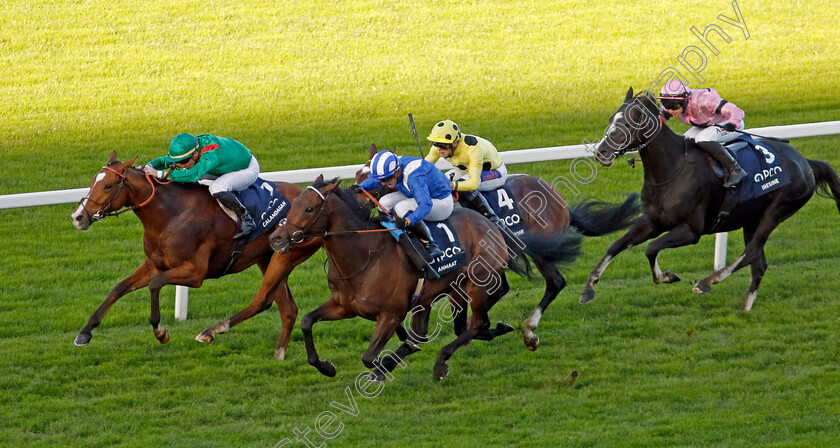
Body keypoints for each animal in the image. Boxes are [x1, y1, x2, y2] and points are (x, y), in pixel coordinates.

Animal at [69, 152, 322, 358]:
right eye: (92, 181)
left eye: (109, 186)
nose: (78, 217)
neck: (170, 214)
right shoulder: (153, 263)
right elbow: (118, 288)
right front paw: (85, 332)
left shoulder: (195, 273)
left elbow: (155, 283)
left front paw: (160, 332)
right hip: (267, 257)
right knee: (286, 309)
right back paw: (278, 355)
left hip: (286, 255)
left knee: (266, 301)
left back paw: (211, 332)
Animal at [270, 177, 584, 380]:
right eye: (293, 204)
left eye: (309, 208)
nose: (276, 238)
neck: (364, 254)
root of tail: (490, 222)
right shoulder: (345, 306)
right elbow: (307, 321)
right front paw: (326, 366)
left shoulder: (391, 313)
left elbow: (370, 357)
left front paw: (383, 366)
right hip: (440, 291)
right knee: (457, 327)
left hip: (476, 282)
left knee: (477, 323)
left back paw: (442, 363)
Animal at [352, 144, 640, 350]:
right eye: (359, 174)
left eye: (375, 179)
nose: (356, 199)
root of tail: (557, 197)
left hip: (541, 250)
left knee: (554, 282)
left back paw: (529, 332)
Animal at [580, 88, 840, 312]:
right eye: (612, 118)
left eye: (629, 123)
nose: (601, 153)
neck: (671, 170)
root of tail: (805, 162)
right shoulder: (653, 223)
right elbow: (617, 245)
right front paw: (588, 289)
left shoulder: (692, 230)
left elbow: (651, 248)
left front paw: (667, 277)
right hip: (752, 219)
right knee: (758, 262)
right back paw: (745, 307)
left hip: (776, 211)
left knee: (752, 252)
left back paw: (706, 282)